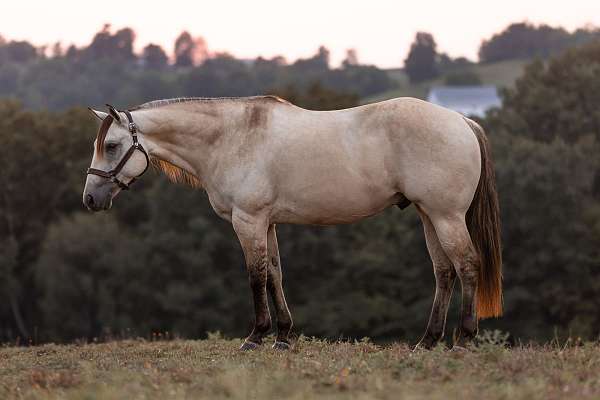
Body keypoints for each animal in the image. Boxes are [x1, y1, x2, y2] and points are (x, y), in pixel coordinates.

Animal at [83, 96, 502, 350]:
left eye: (112, 146)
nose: (90, 199)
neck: (231, 137)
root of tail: (463, 120)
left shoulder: (248, 221)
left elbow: (255, 276)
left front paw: (256, 336)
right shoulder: (267, 223)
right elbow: (275, 274)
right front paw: (284, 336)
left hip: (446, 216)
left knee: (467, 266)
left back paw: (464, 339)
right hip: (428, 215)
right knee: (444, 272)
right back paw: (427, 341)